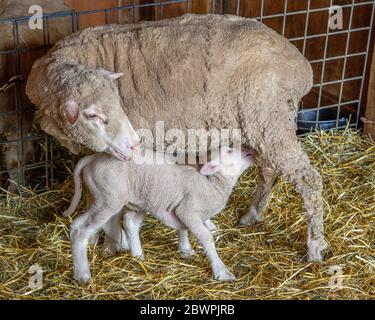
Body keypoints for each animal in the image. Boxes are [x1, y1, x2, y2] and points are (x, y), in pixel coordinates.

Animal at [25, 13, 328, 262]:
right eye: (91, 115)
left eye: (117, 102)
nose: (133, 144)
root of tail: (300, 66)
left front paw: (112, 243)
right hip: (263, 126)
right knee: (268, 170)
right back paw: (253, 214)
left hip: (268, 119)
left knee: (308, 179)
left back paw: (315, 246)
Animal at [64, 146, 256, 282]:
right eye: (229, 150)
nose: (250, 149)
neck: (211, 183)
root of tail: (92, 158)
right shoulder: (188, 210)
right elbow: (206, 237)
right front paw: (222, 271)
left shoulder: (180, 209)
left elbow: (182, 228)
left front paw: (185, 250)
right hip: (108, 199)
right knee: (80, 229)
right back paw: (82, 274)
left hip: (128, 199)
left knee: (126, 221)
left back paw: (137, 255)